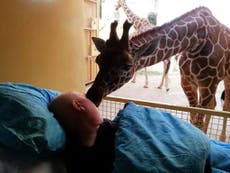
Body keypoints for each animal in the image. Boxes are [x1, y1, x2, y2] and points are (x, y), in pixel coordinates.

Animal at [86, 7, 230, 142]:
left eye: (127, 66)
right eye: (98, 60)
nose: (92, 97)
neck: (196, 43)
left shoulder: (208, 84)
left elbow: (198, 121)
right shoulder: (187, 82)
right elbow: (193, 117)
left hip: (224, 78)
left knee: (225, 106)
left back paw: (222, 137)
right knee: (214, 104)